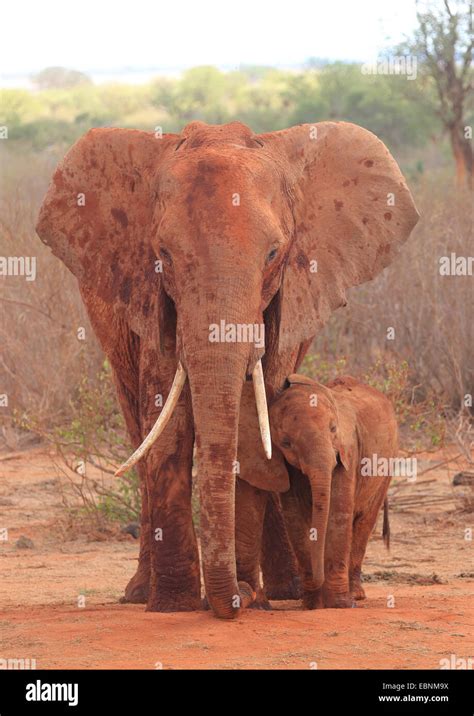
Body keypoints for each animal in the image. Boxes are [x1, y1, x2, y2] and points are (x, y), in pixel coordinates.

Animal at [270, 374, 396, 608]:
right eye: (286, 443)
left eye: (333, 429)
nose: (317, 579)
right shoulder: (287, 466)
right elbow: (294, 518)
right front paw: (311, 605)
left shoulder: (349, 451)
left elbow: (338, 514)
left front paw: (341, 604)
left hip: (389, 462)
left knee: (364, 521)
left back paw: (356, 595)